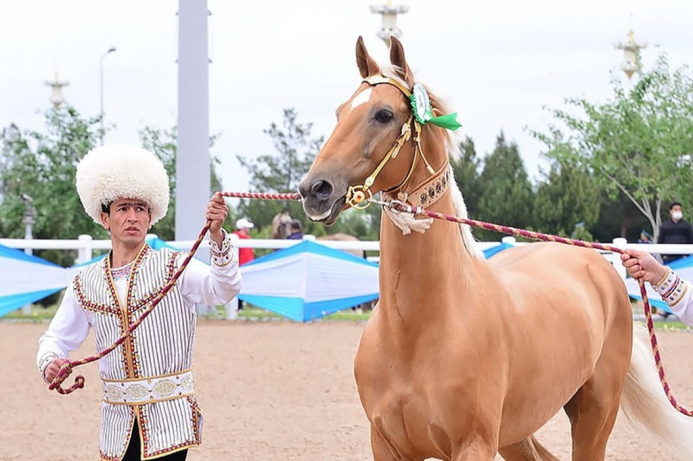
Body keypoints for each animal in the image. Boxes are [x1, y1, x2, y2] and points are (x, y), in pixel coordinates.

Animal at [298, 36, 692, 460]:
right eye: (340, 112)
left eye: (383, 114)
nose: (315, 189)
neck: (414, 331)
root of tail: (599, 263)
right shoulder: (387, 445)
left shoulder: (474, 444)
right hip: (517, 431)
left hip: (595, 416)